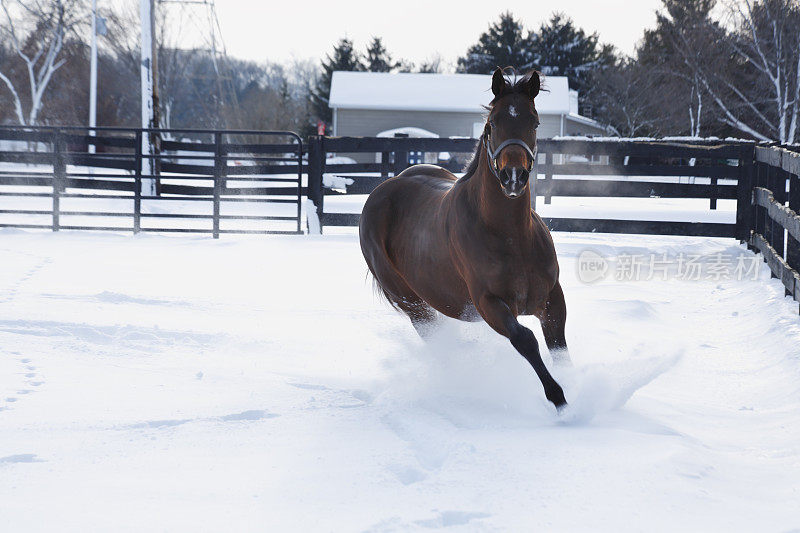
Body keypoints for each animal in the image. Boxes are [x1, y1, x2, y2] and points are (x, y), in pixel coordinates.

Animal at [360, 66, 572, 408]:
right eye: (493, 122)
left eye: (534, 121)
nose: (513, 176)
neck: (512, 236)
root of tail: (383, 190)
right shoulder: (489, 303)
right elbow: (525, 340)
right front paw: (559, 399)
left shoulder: (552, 297)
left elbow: (559, 346)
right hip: (414, 305)